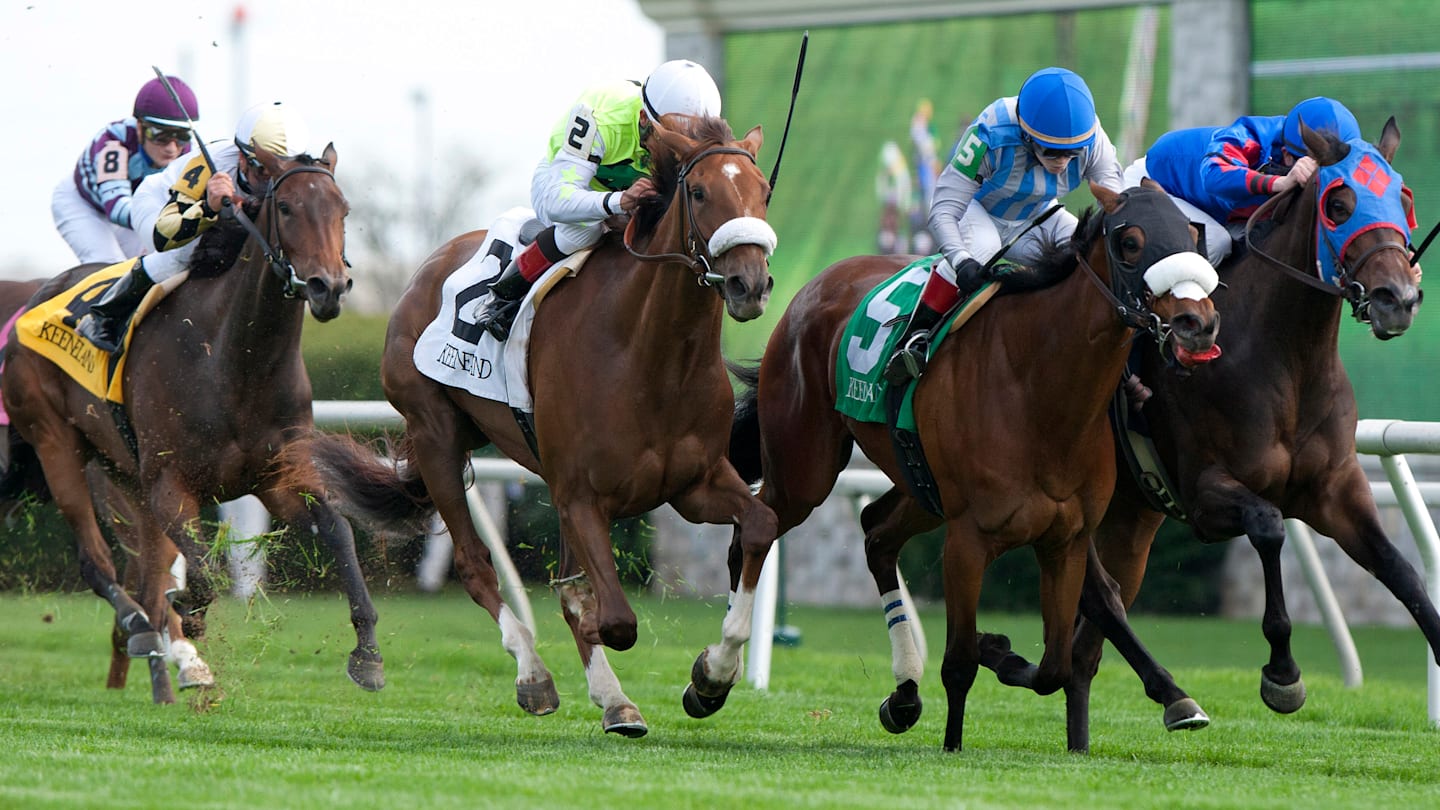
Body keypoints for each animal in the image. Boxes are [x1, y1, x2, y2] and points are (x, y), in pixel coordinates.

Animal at [0, 144, 379, 704]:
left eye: (343, 210)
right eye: (287, 208)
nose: (327, 287)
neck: (233, 362)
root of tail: (34, 296)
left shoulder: (276, 479)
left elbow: (339, 531)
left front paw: (368, 653)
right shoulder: (170, 483)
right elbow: (201, 571)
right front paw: (193, 617)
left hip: (123, 474)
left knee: (146, 570)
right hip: (57, 445)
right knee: (97, 561)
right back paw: (141, 629)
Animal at [300, 115, 777, 737]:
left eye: (763, 191)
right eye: (698, 193)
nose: (750, 284)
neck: (652, 356)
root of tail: (428, 267)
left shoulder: (693, 485)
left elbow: (761, 525)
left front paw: (712, 676)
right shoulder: (580, 495)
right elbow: (612, 618)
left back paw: (614, 698)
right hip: (435, 435)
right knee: (476, 565)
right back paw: (535, 675)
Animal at [721, 180, 1222, 751]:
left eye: (1192, 234)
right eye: (1131, 242)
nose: (1198, 323)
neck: (1040, 388)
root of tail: (812, 288)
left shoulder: (1065, 539)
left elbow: (1056, 663)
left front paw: (1000, 651)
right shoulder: (967, 539)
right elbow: (960, 661)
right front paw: (954, 739)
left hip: (918, 483)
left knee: (876, 532)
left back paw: (903, 694)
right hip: (804, 470)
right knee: (754, 531)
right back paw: (713, 675)